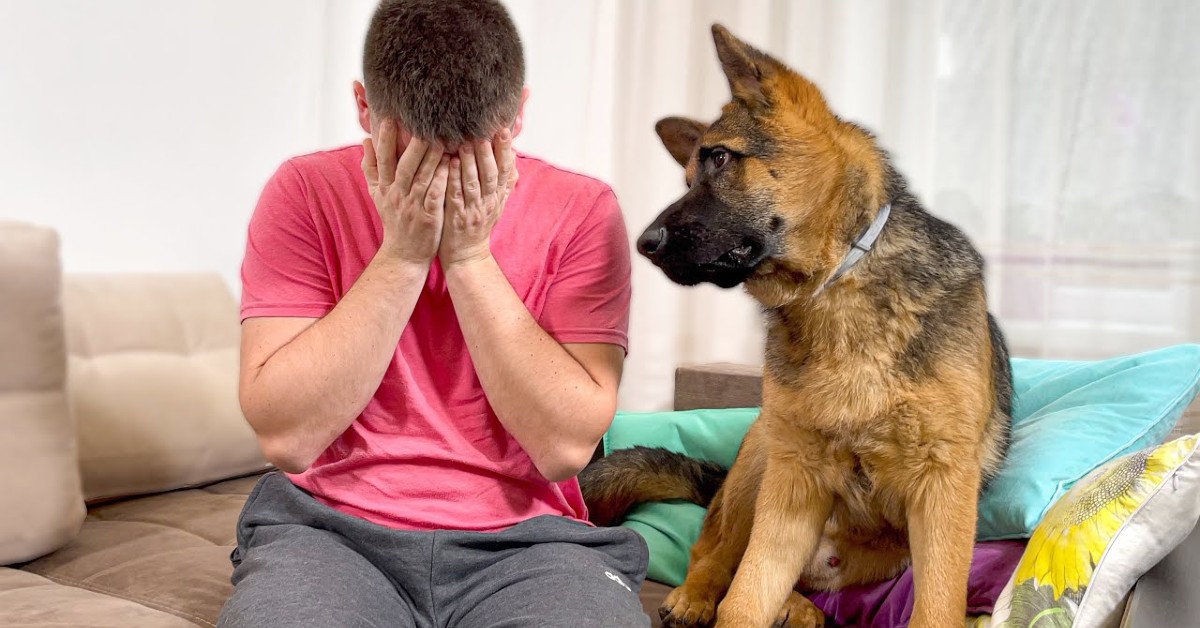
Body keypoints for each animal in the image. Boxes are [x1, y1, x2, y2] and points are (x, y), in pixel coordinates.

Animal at [580, 24, 1012, 628]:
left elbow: (937, 605)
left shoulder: (942, 488)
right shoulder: (794, 480)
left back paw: (798, 608)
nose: (643, 244)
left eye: (720, 158)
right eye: (689, 175)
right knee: (717, 555)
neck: (833, 287)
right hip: (764, 455)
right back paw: (697, 596)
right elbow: (743, 599)